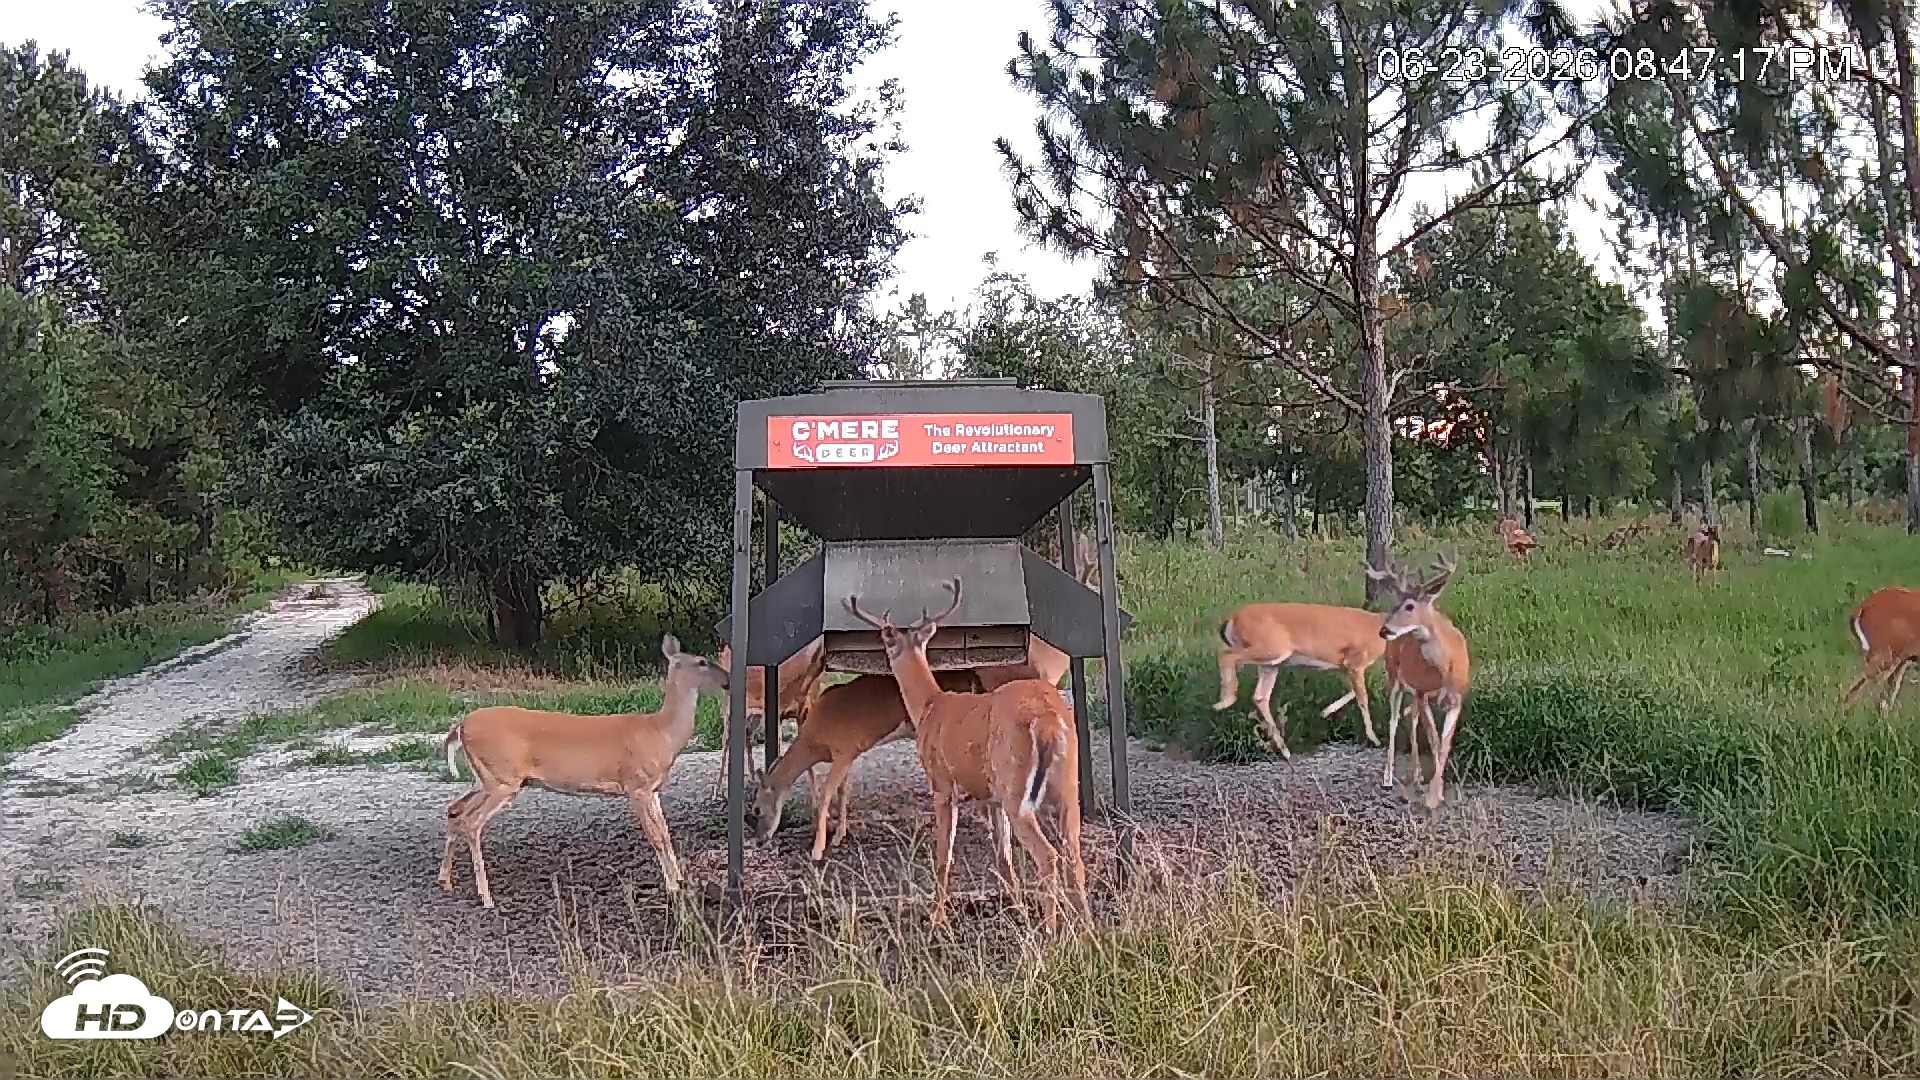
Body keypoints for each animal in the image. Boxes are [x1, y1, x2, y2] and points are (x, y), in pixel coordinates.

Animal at [437, 634, 728, 908]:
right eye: (702, 661)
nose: (727, 680)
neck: (661, 733)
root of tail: (460, 726)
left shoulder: (653, 789)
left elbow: (666, 835)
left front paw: (679, 880)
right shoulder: (636, 785)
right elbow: (656, 836)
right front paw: (674, 887)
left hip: (488, 778)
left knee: (455, 809)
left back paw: (446, 882)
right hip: (502, 778)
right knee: (472, 821)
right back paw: (485, 897)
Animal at [710, 636, 827, 799]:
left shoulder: (805, 709)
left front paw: (817, 798)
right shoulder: (777, 710)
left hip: (754, 713)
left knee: (746, 735)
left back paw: (753, 780)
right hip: (729, 704)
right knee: (726, 740)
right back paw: (718, 791)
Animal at [845, 578, 1089, 933]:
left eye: (885, 639)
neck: (930, 706)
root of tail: (1047, 720)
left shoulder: (942, 782)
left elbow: (944, 855)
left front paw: (937, 918)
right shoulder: (990, 795)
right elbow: (1002, 856)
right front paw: (1016, 907)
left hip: (1017, 788)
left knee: (1049, 856)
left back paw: (1049, 930)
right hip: (1066, 786)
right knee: (1074, 855)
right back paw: (1087, 926)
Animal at [1212, 600, 1387, 759]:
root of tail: (1232, 619)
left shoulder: (1342, 665)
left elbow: (1353, 691)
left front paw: (1325, 712)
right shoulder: (1355, 662)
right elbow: (1363, 698)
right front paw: (1375, 739)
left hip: (1270, 662)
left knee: (1260, 696)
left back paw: (1284, 750)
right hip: (1270, 647)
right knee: (1226, 655)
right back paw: (1226, 700)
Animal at [1365, 549, 1471, 809]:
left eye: (1410, 606)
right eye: (1395, 604)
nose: (1384, 630)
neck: (1444, 670)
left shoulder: (1455, 698)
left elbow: (1445, 744)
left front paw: (1437, 792)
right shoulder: (1423, 692)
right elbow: (1434, 740)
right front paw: (1434, 796)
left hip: (1413, 691)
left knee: (1411, 720)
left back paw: (1417, 775)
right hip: (1394, 676)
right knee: (1394, 721)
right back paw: (1388, 778)